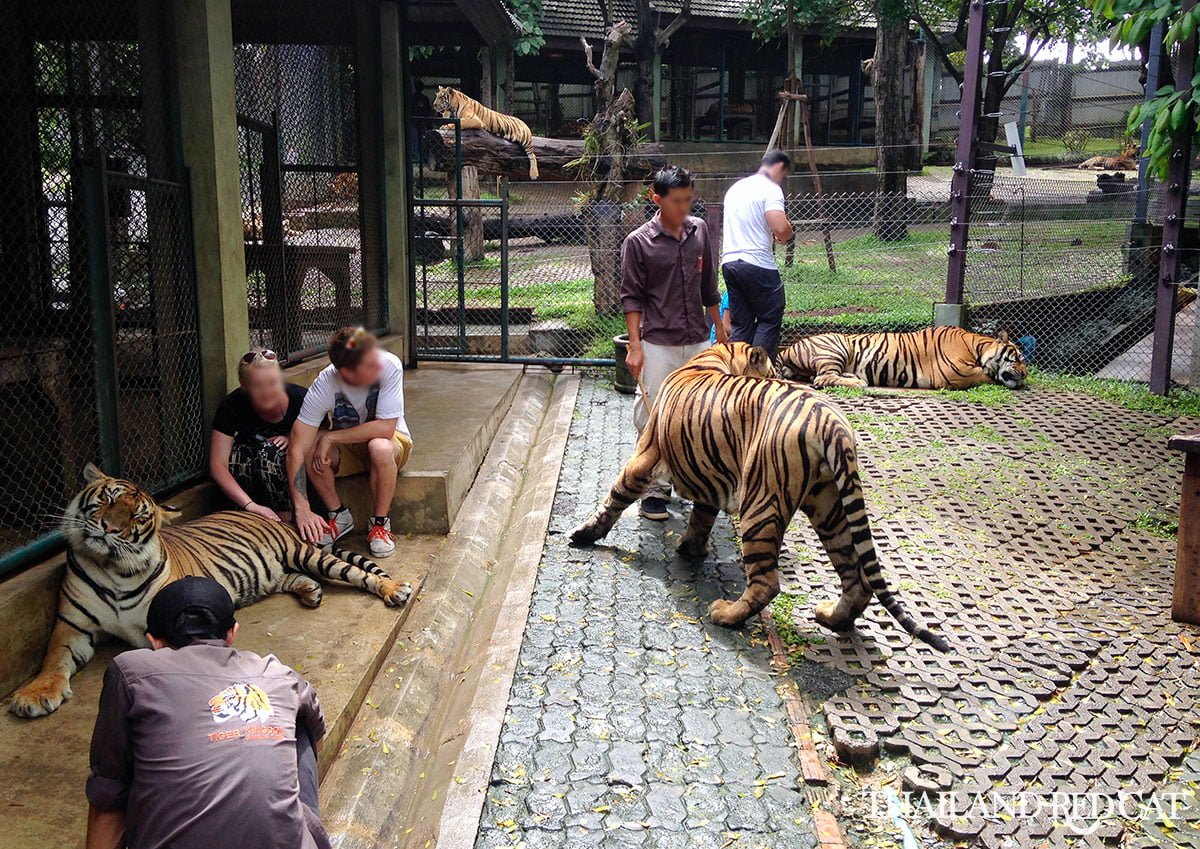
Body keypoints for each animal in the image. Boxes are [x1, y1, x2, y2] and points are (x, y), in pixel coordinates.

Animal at [8, 465, 412, 714]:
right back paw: (311, 591)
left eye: (138, 515)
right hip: (274, 570)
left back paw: (394, 589)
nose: (109, 528)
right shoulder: (71, 625)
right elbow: (54, 658)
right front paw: (35, 695)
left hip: (306, 553)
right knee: (290, 578)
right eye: (106, 499)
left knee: (354, 572)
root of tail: (274, 516)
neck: (113, 569)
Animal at [566, 340, 950, 652]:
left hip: (761, 504)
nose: (779, 371)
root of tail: (831, 422)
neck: (715, 357)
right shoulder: (708, 471)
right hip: (830, 505)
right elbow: (701, 516)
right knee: (857, 578)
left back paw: (725, 614)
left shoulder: (645, 455)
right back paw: (831, 617)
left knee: (767, 584)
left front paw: (584, 533)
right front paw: (691, 548)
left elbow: (616, 495)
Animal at [782, 326, 1027, 390]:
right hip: (835, 346)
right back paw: (859, 382)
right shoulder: (955, 374)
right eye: (1017, 357)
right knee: (821, 378)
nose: (1025, 374)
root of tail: (787, 348)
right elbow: (986, 376)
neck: (976, 346)